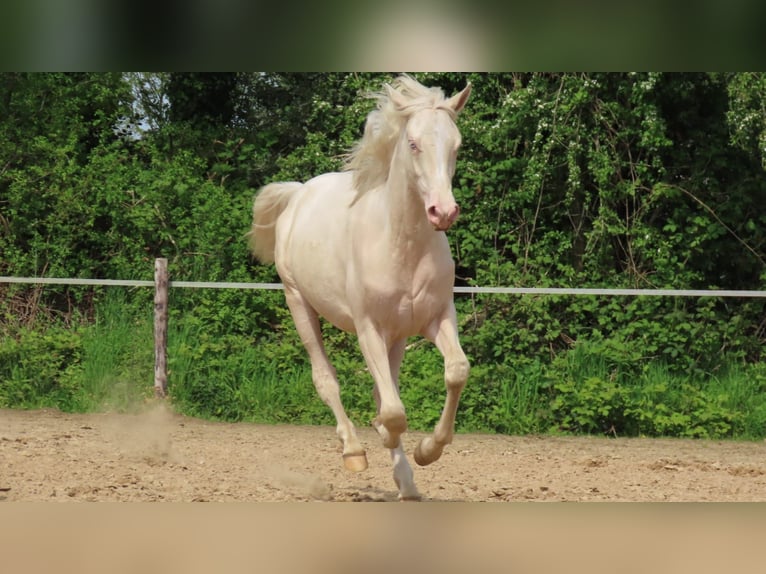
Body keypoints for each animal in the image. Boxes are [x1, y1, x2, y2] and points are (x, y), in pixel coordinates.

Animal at [249, 75, 472, 500]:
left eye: (457, 145)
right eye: (413, 143)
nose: (444, 212)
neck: (401, 243)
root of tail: (298, 193)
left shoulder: (436, 319)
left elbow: (455, 372)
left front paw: (427, 451)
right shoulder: (369, 328)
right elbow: (394, 411)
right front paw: (387, 437)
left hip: (399, 335)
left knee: (385, 389)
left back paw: (406, 482)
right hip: (299, 302)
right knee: (327, 381)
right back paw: (353, 450)